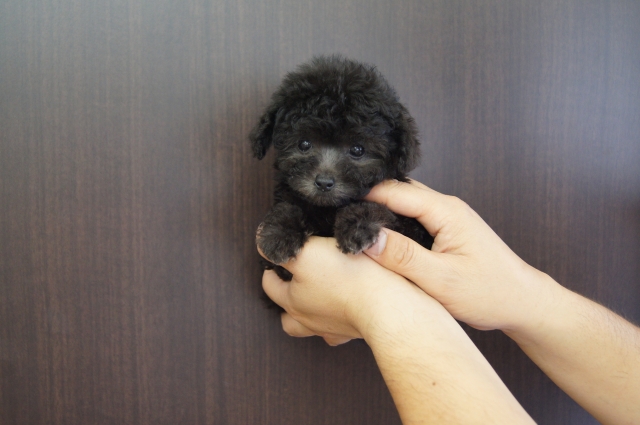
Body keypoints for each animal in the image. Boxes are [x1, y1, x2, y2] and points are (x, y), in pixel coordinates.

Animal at [250, 55, 433, 283]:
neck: (328, 208)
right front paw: (279, 233)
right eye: (304, 144)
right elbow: (288, 206)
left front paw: (357, 224)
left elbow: (382, 210)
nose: (324, 183)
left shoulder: (413, 229)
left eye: (357, 149)